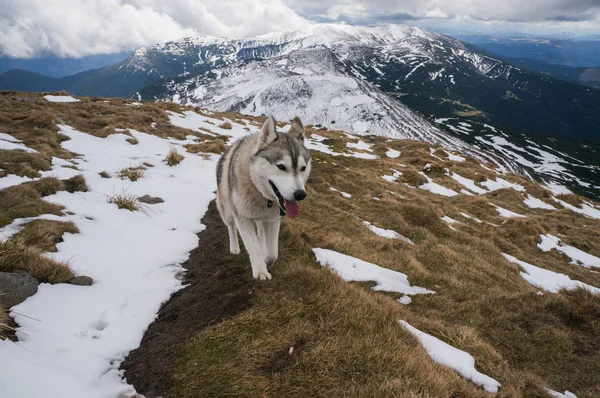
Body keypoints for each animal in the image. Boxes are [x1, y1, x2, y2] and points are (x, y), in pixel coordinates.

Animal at [216, 116, 312, 280]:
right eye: (281, 167)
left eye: (303, 168)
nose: (300, 194)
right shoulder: (242, 218)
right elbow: (253, 247)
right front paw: (260, 271)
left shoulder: (273, 220)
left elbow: (273, 253)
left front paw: (265, 260)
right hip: (227, 211)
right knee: (231, 227)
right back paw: (234, 246)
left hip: (262, 220)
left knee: (260, 234)